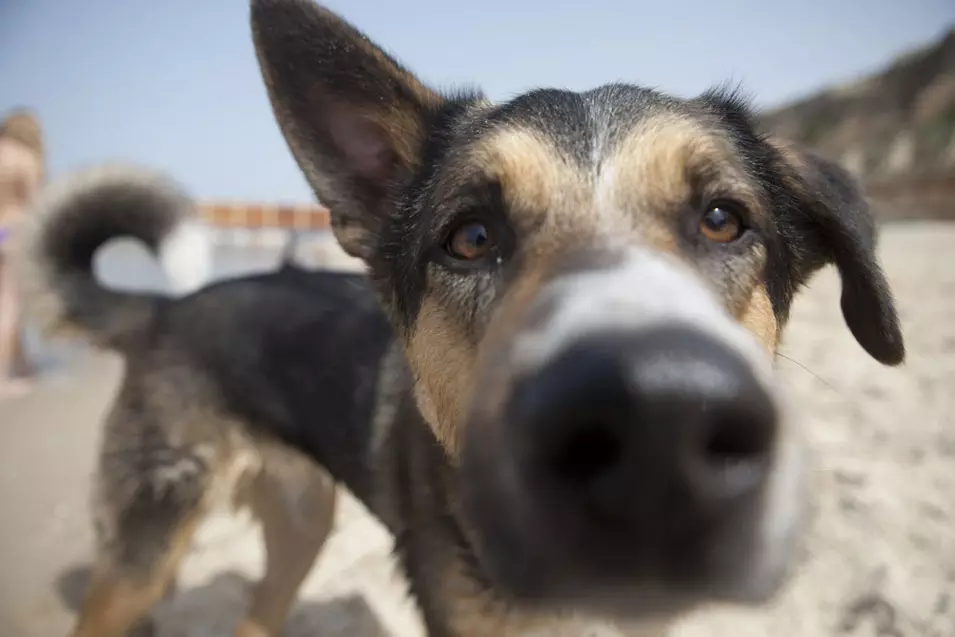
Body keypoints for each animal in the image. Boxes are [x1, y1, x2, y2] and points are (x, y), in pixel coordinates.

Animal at [18, 0, 908, 632]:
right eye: (471, 237)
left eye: (723, 220)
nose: (656, 418)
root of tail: (162, 309)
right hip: (146, 549)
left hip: (300, 527)